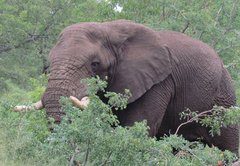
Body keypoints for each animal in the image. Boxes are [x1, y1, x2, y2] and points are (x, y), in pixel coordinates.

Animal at [15, 19, 238, 156]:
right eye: (50, 60)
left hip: (223, 98)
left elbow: (136, 130)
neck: (110, 30)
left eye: (95, 64)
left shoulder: (158, 83)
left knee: (230, 145)